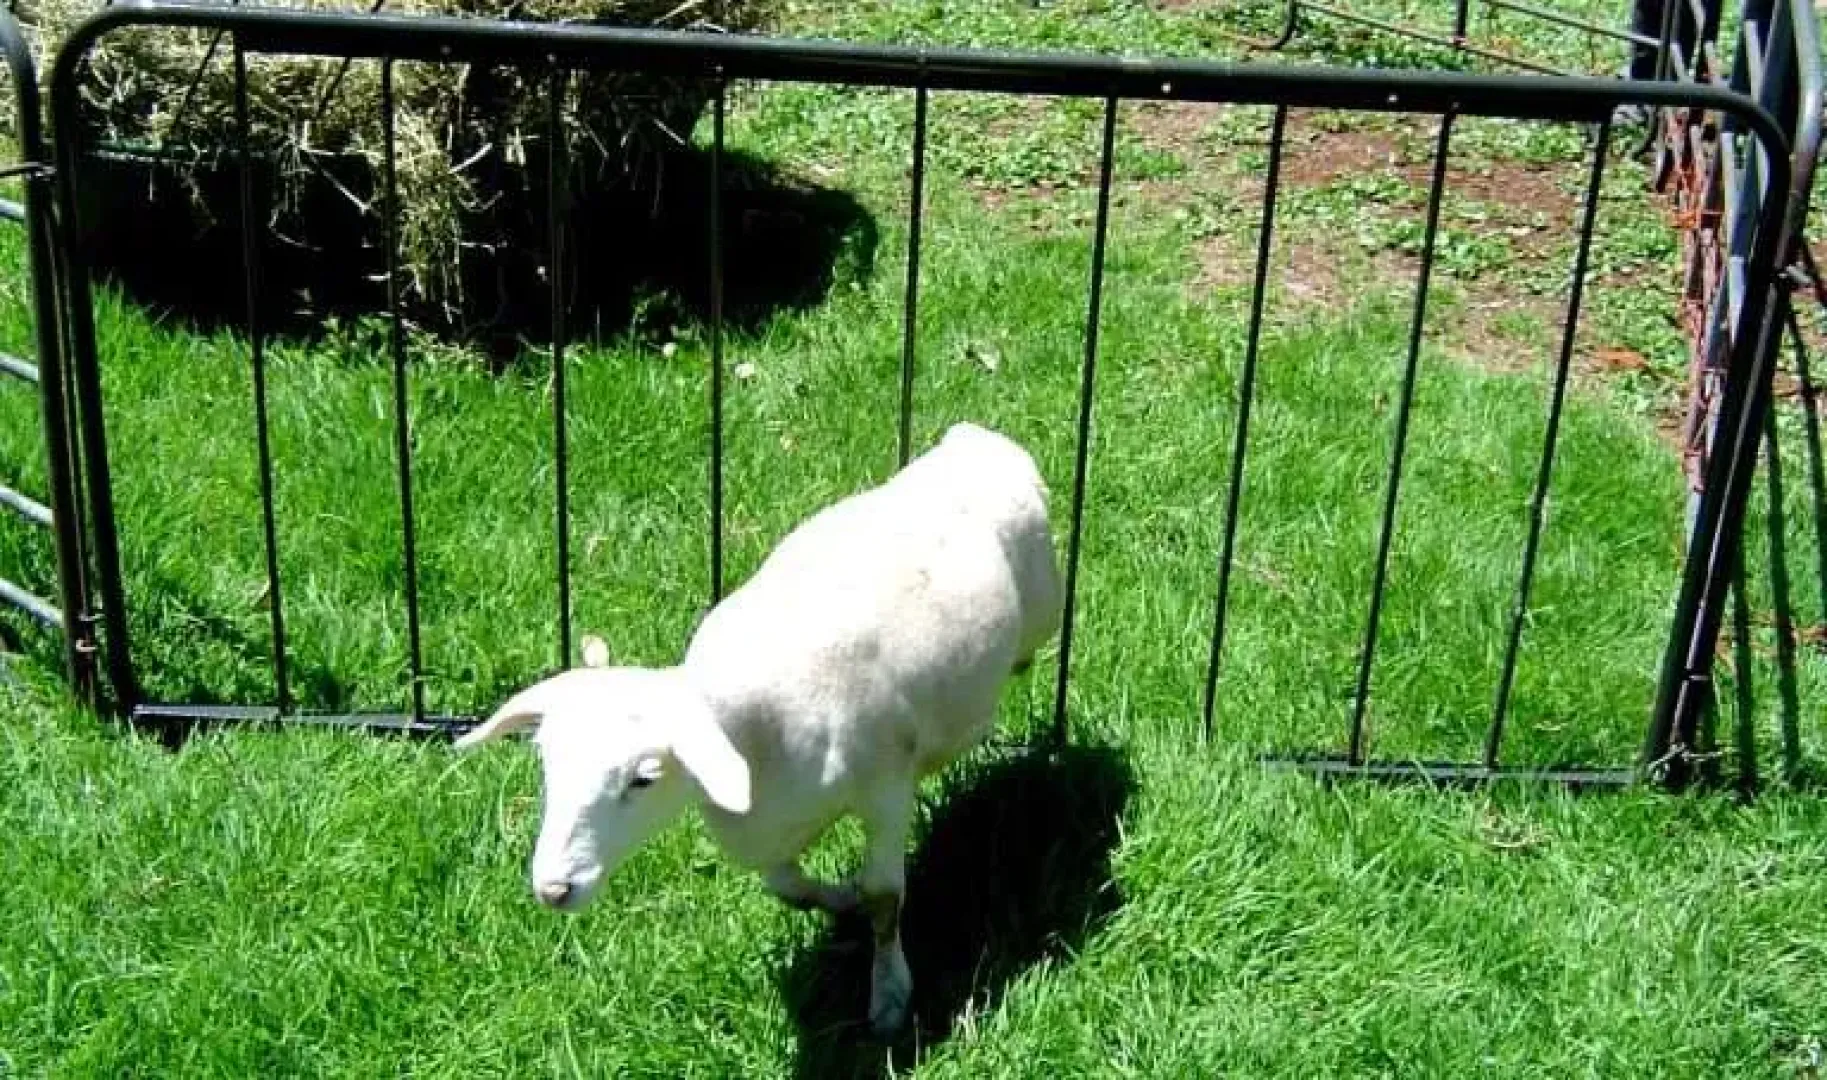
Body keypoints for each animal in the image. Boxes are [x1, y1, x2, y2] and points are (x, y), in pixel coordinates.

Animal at [454, 421, 1062, 1036]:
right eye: (547, 765)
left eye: (643, 779)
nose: (554, 890)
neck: (756, 736)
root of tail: (974, 441)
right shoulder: (767, 828)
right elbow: (790, 888)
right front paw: (840, 901)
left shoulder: (886, 789)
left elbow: (885, 898)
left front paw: (890, 994)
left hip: (1046, 605)